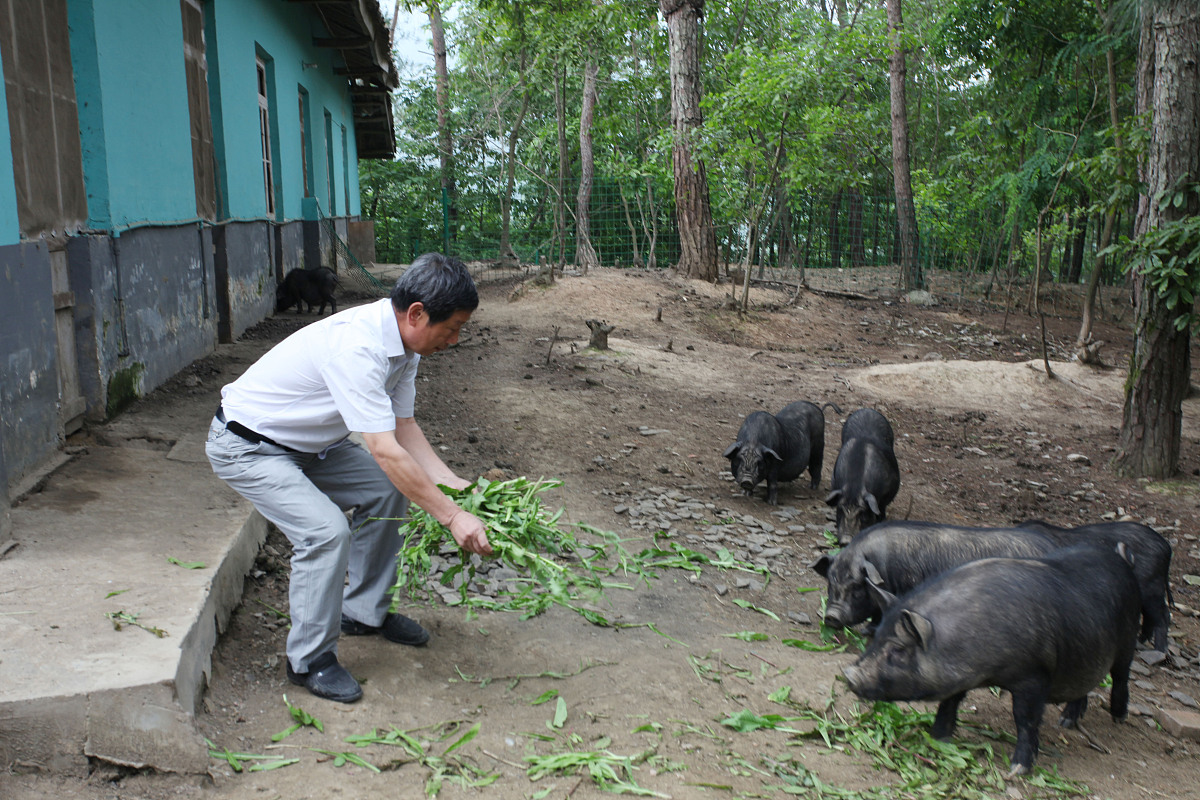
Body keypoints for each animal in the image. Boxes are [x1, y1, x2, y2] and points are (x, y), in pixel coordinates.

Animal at [830, 407, 897, 544]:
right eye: (840, 510)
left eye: (862, 513)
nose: (846, 540)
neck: (855, 485)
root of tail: (868, 409)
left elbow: (881, 508)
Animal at [840, 544, 1137, 777]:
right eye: (876, 637)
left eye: (899, 649)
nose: (848, 675)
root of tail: (1122, 560)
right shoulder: (960, 678)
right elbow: (950, 703)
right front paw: (939, 738)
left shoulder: (1034, 675)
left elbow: (1025, 719)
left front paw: (1017, 770)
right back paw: (1066, 722)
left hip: (1128, 639)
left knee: (1121, 676)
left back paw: (1118, 717)